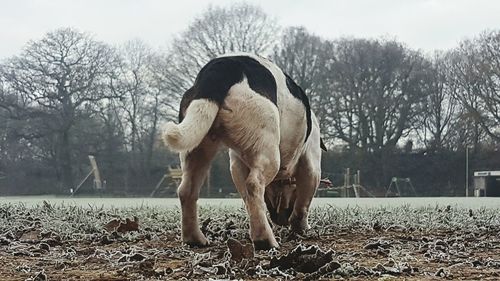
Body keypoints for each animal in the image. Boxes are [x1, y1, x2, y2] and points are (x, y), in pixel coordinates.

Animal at [163, 53, 324, 249]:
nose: (281, 220)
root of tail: (221, 67)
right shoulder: (312, 167)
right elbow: (303, 203)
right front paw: (300, 227)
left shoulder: (237, 164)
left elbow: (249, 200)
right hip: (268, 152)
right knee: (254, 185)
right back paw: (265, 240)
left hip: (198, 147)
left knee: (187, 190)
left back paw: (194, 238)